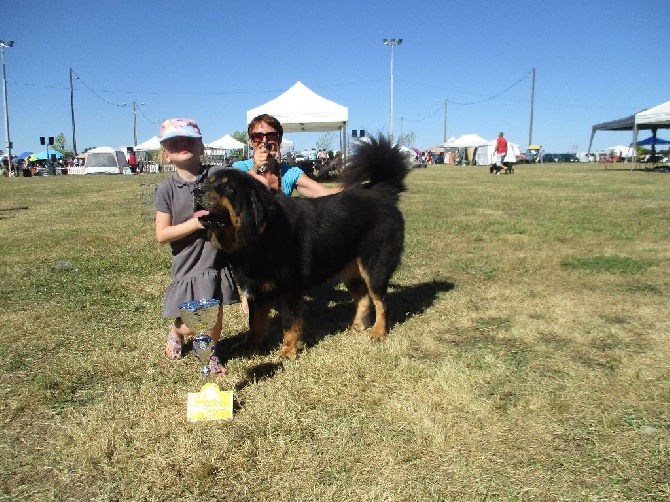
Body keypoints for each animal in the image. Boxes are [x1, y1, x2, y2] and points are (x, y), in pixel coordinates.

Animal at [196, 135, 410, 358]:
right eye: (208, 182)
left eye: (229, 188)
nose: (197, 189)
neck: (260, 235)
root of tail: (381, 191)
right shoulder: (257, 290)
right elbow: (255, 324)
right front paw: (249, 346)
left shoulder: (289, 288)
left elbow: (289, 322)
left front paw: (287, 351)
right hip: (350, 270)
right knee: (363, 298)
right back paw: (357, 326)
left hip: (374, 268)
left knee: (381, 302)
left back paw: (378, 332)